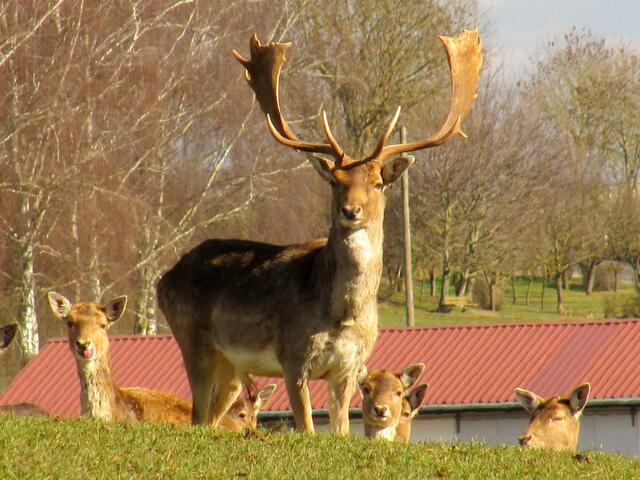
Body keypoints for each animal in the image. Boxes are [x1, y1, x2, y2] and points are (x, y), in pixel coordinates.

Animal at [156, 30, 482, 434]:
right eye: (335, 182)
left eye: (378, 183)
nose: (351, 210)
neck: (343, 317)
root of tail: (164, 278)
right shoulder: (293, 356)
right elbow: (309, 427)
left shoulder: (348, 368)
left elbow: (341, 430)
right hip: (193, 339)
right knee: (197, 414)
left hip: (232, 365)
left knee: (211, 418)